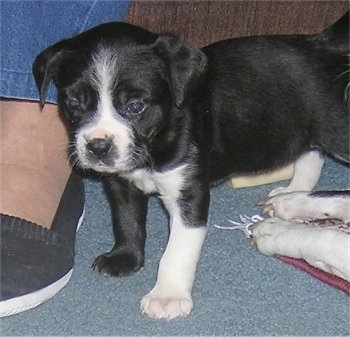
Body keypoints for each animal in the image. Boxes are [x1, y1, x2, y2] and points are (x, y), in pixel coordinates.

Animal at [32, 11, 348, 318]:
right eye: (73, 102)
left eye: (136, 106)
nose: (98, 146)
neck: (155, 145)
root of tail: (321, 44)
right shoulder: (121, 183)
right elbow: (126, 220)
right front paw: (125, 258)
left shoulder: (189, 194)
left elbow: (177, 251)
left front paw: (167, 296)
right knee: (311, 155)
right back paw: (291, 195)